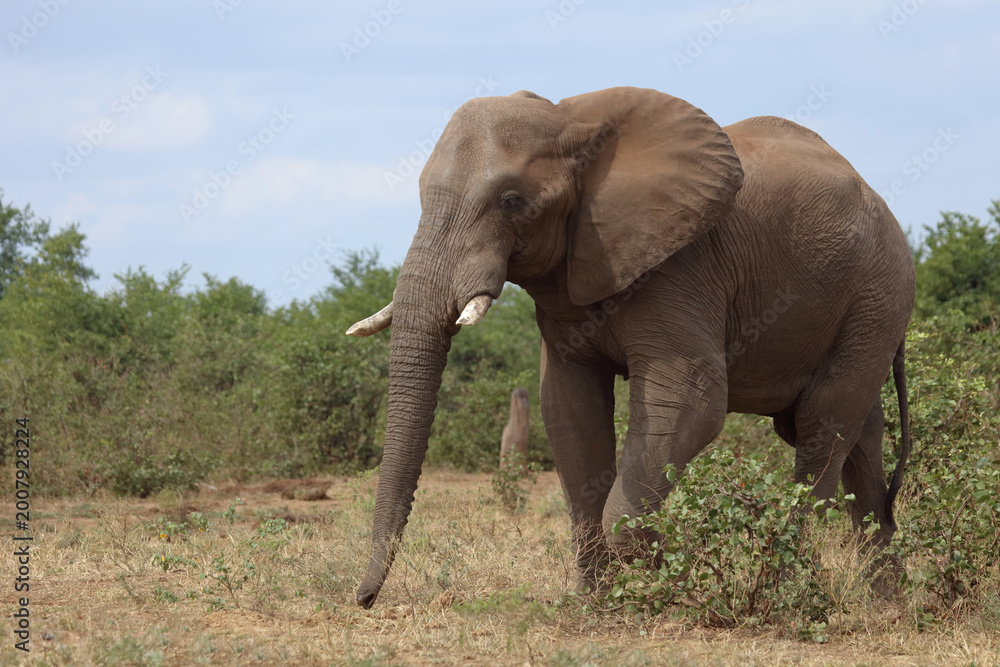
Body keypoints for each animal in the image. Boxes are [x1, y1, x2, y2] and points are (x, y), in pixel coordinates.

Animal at [348, 86, 914, 609]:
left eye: (512, 202)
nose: (364, 598)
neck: (570, 120)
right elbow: (569, 408)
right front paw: (596, 602)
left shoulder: (680, 265)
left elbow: (693, 398)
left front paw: (663, 577)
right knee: (856, 433)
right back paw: (886, 601)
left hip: (877, 293)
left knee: (823, 423)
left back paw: (790, 592)